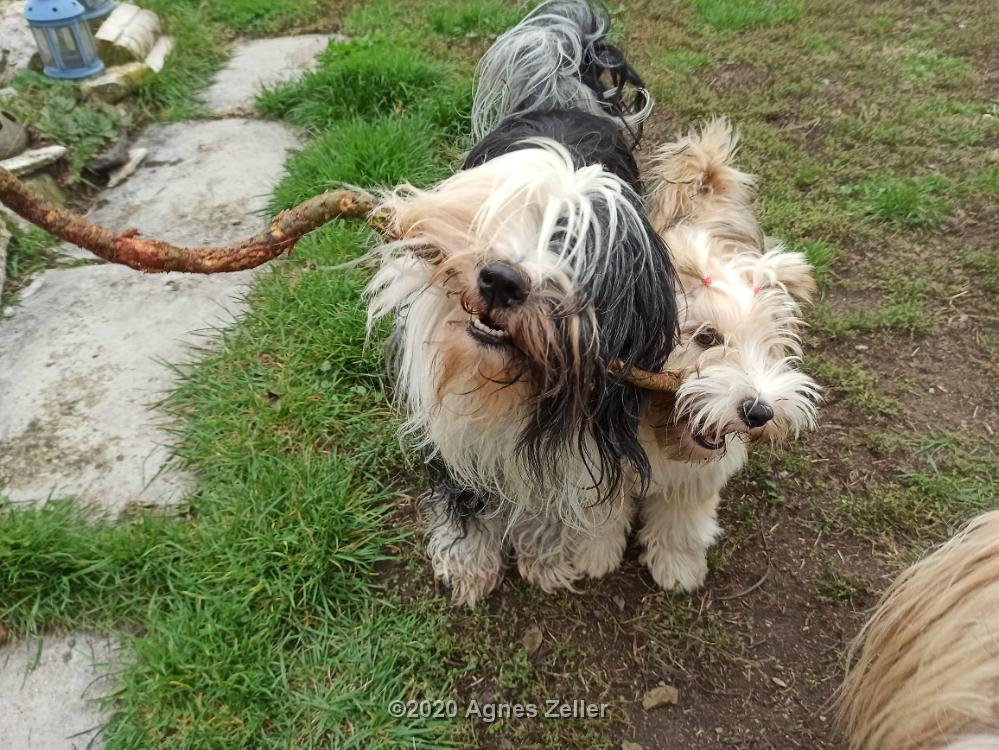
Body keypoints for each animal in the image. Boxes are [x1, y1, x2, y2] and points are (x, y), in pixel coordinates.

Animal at [368, 0, 680, 608]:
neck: (508, 381)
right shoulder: (451, 424)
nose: (501, 281)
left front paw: (545, 558)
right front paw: (468, 564)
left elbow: (548, 499)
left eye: (577, 248)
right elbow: (466, 496)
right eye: (495, 215)